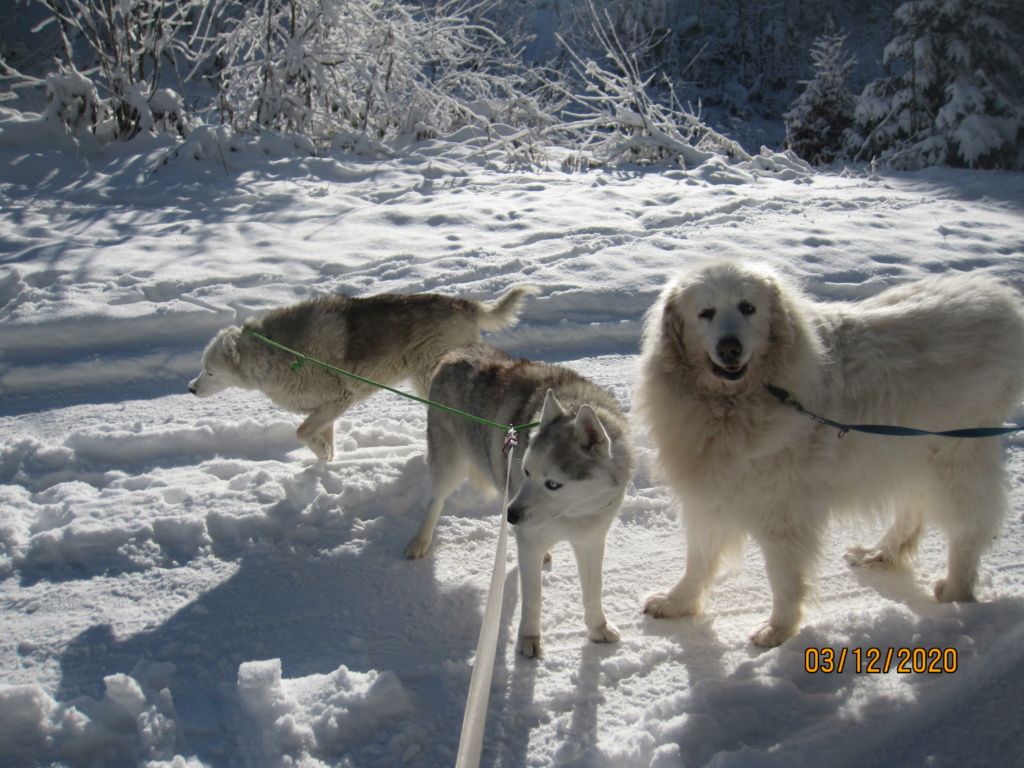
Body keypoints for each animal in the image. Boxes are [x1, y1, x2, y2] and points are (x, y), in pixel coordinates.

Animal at [193, 286, 544, 460]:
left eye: (209, 373)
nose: (190, 389)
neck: (279, 352)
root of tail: (466, 305)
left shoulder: (338, 399)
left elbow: (302, 433)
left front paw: (321, 456)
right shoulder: (328, 409)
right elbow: (321, 440)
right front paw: (324, 465)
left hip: (429, 376)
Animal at [405, 346, 630, 659]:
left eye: (552, 484)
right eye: (526, 471)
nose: (510, 515)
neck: (573, 513)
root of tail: (458, 350)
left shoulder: (591, 541)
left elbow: (593, 591)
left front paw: (598, 628)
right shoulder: (530, 540)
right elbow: (533, 599)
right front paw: (529, 640)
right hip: (450, 466)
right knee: (436, 499)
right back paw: (420, 541)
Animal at [634, 262, 1019, 647]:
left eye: (748, 307)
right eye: (706, 313)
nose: (730, 349)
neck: (735, 401)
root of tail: (997, 296)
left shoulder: (783, 509)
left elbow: (783, 577)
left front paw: (778, 631)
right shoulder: (709, 496)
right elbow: (698, 558)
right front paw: (678, 602)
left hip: (955, 456)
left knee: (969, 526)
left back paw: (956, 591)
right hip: (910, 451)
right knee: (913, 508)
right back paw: (881, 553)